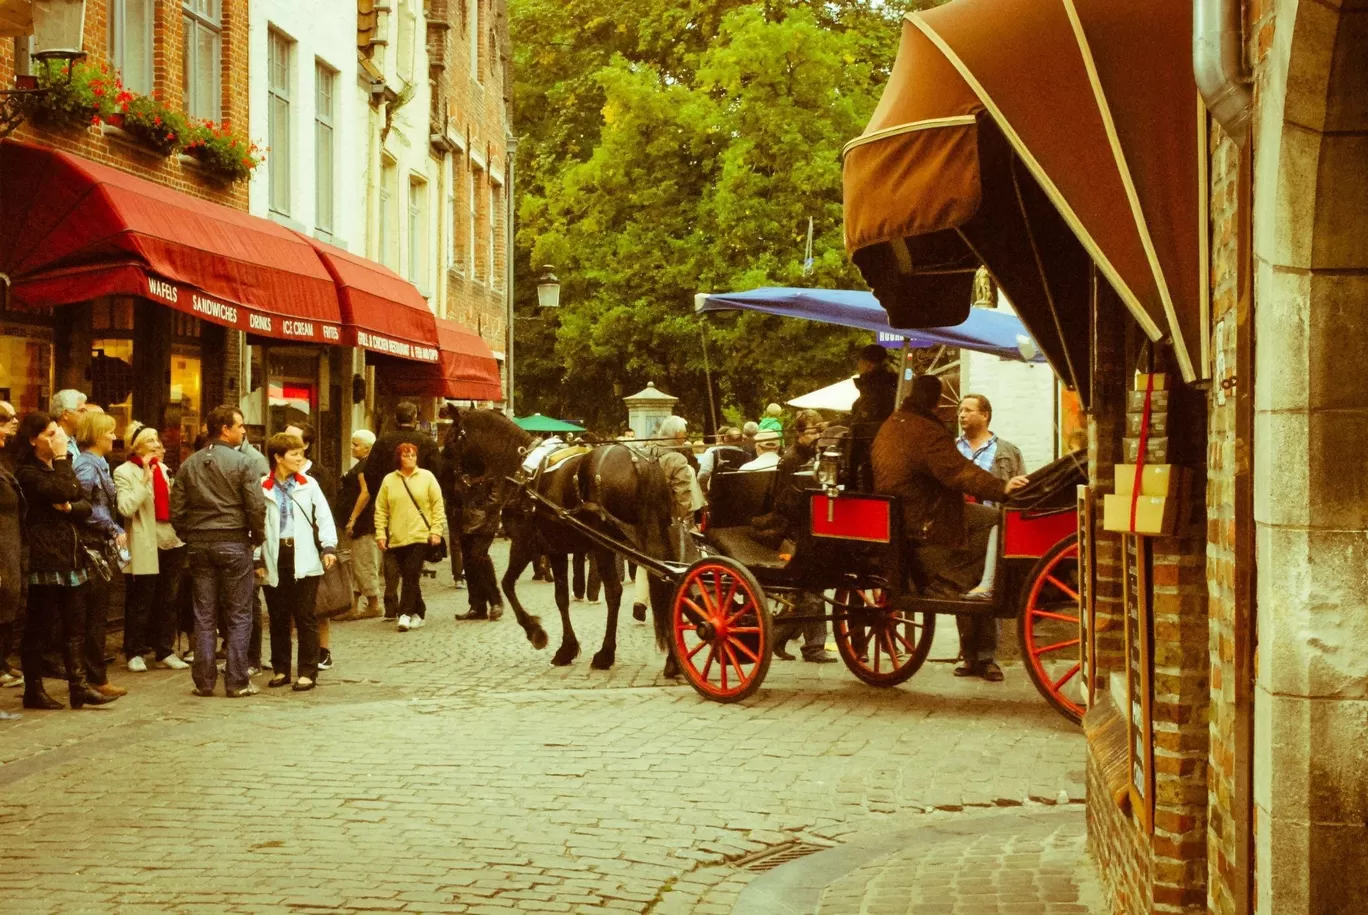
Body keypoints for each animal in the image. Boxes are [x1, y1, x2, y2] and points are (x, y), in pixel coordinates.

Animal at [445, 410, 681, 675]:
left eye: (450, 441)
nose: (452, 492)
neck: (519, 471)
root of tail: (638, 461)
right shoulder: (557, 549)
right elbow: (561, 597)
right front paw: (566, 648)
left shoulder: (528, 544)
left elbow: (509, 585)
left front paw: (536, 633)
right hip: (652, 539)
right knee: (667, 585)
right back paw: (672, 660)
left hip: (605, 547)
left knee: (615, 592)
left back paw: (606, 654)